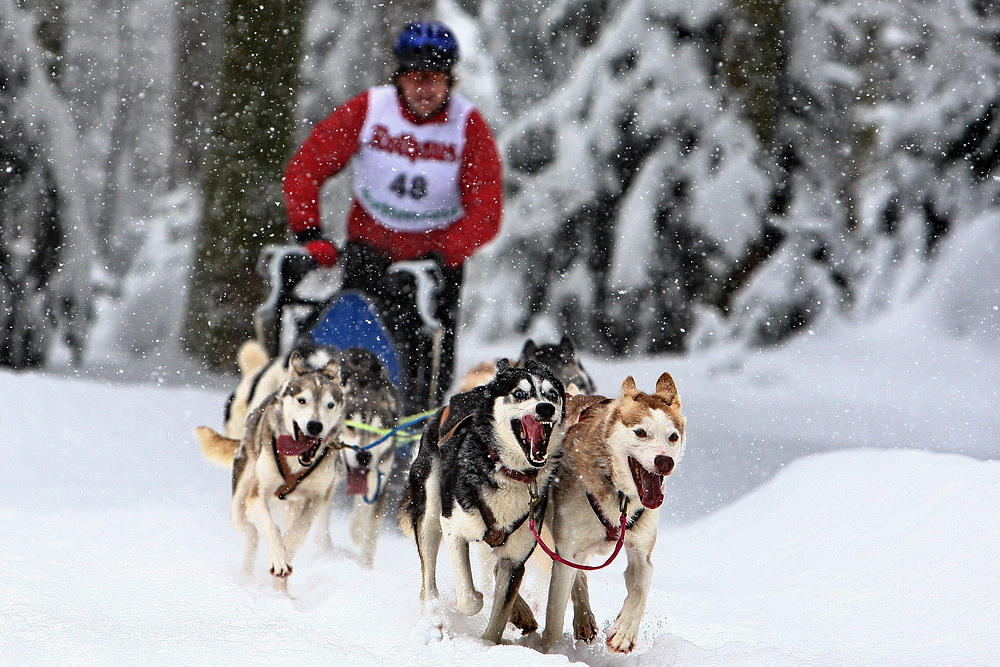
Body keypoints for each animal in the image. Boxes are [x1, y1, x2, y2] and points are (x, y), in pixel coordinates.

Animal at [229, 352, 346, 592]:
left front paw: (286, 554)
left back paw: (281, 591)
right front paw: (279, 556)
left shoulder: (315, 500)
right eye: (302, 400)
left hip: (294, 505)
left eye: (329, 404)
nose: (315, 426)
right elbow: (271, 527)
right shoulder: (257, 495)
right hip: (239, 501)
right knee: (251, 533)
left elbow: (297, 532)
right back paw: (246, 577)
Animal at [400, 362, 572, 644]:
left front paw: (490, 641)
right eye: (520, 394)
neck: (510, 471)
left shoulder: (515, 558)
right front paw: (477, 600)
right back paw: (433, 618)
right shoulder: (453, 529)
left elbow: (499, 614)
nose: (545, 408)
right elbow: (469, 599)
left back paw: (522, 612)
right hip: (430, 513)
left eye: (552, 395)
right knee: (428, 583)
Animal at [544, 374, 684, 656]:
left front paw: (624, 633)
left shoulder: (641, 551)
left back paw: (585, 619)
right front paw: (550, 653)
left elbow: (641, 586)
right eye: (640, 432)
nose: (665, 461)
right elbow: (555, 611)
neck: (620, 497)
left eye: (673, 437)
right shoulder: (565, 551)